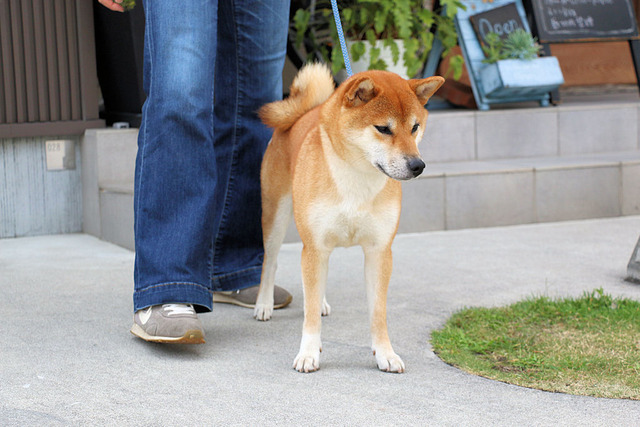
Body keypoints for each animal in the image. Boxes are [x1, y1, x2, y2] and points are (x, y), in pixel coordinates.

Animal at [252, 63, 442, 374]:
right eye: (383, 129)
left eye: (415, 127)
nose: (418, 165)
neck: (358, 179)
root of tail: (301, 115)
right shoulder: (314, 246)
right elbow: (309, 318)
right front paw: (308, 353)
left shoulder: (379, 251)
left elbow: (378, 312)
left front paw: (385, 353)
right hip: (276, 217)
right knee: (271, 262)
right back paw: (264, 304)